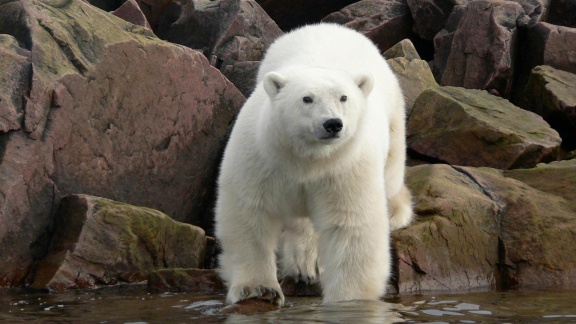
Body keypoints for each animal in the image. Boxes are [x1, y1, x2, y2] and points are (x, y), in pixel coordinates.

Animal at [214, 23, 412, 306]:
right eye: (306, 98)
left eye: (343, 97)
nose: (332, 124)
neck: (308, 158)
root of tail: (330, 25)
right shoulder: (262, 157)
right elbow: (249, 213)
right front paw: (258, 288)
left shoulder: (346, 168)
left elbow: (351, 227)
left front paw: (348, 301)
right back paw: (303, 260)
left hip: (393, 114)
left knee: (393, 171)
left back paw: (396, 211)